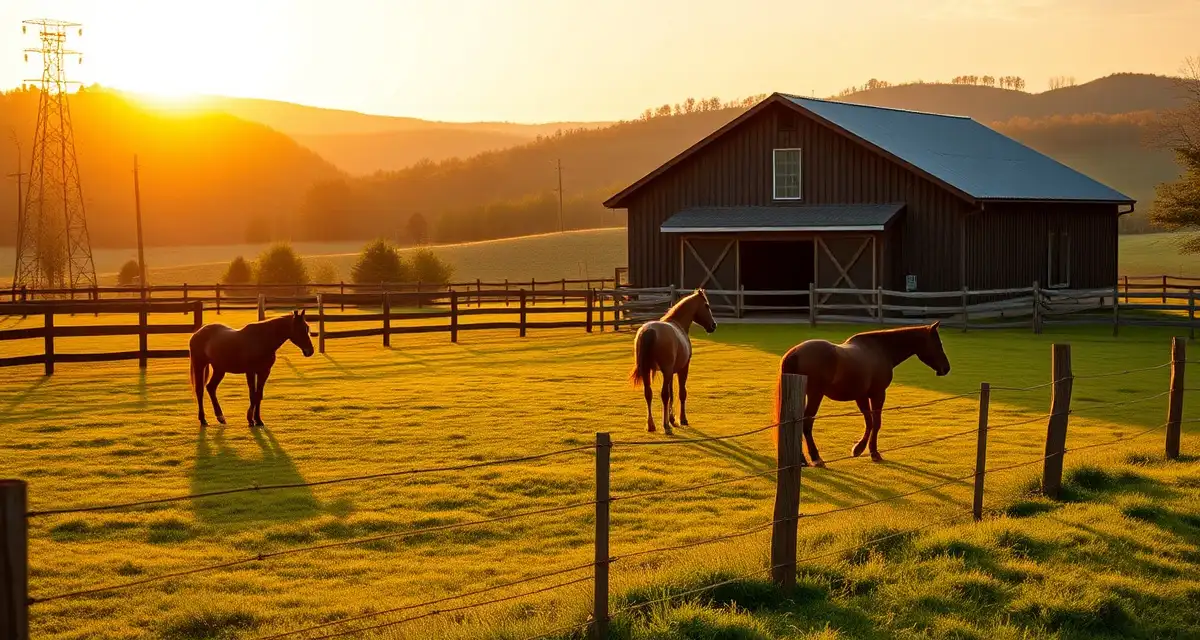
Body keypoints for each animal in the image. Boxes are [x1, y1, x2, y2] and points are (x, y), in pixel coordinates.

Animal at [629, 288, 718, 434]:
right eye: (707, 305)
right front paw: (682, 419)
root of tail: (649, 330)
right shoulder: (682, 369)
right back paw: (666, 426)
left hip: (647, 370)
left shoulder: (670, 372)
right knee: (664, 395)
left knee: (648, 393)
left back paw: (651, 425)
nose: (713, 325)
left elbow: (671, 393)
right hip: (665, 370)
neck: (677, 323)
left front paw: (671, 418)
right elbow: (681, 393)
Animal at [774, 321, 951, 467]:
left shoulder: (861, 396)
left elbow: (869, 422)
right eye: (939, 344)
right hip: (815, 395)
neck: (880, 350)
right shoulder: (878, 394)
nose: (946, 368)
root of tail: (795, 353)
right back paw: (815, 458)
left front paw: (858, 449)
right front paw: (874, 452)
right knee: (807, 423)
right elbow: (876, 422)